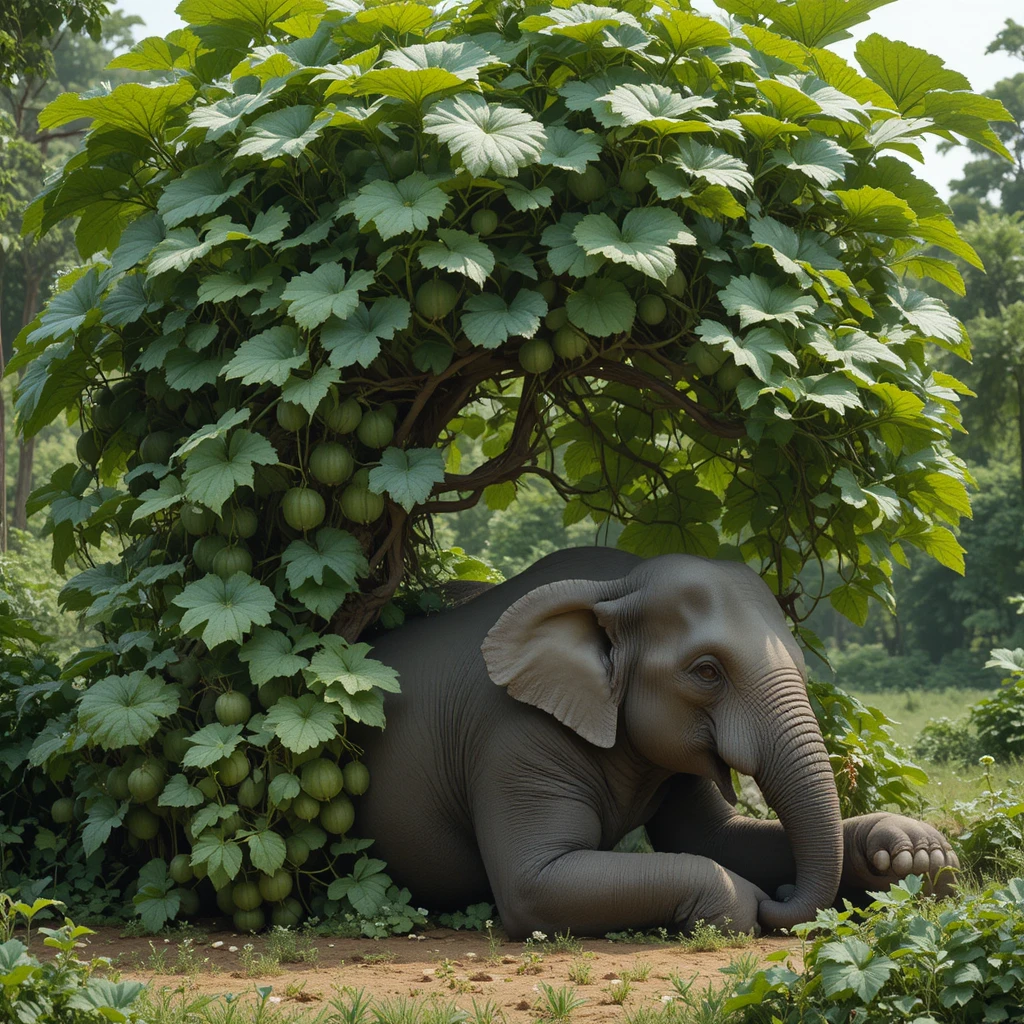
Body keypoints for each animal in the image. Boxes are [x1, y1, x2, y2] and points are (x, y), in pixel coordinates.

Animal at [353, 547, 957, 939]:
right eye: (707, 671)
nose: (783, 895)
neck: (616, 585)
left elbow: (718, 837)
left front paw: (914, 854)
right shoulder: (511, 733)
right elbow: (533, 884)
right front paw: (747, 905)